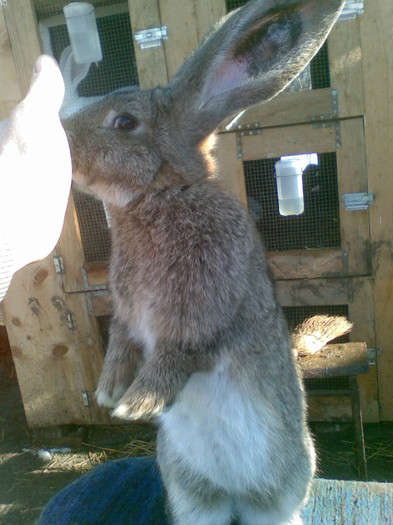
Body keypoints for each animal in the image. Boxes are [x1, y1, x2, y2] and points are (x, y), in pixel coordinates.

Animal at [63, 1, 344, 520]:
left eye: (125, 122)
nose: (62, 140)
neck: (159, 198)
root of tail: (234, 494)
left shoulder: (202, 309)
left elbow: (178, 353)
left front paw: (135, 404)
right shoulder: (127, 311)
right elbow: (120, 342)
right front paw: (111, 390)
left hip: (280, 489)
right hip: (191, 491)